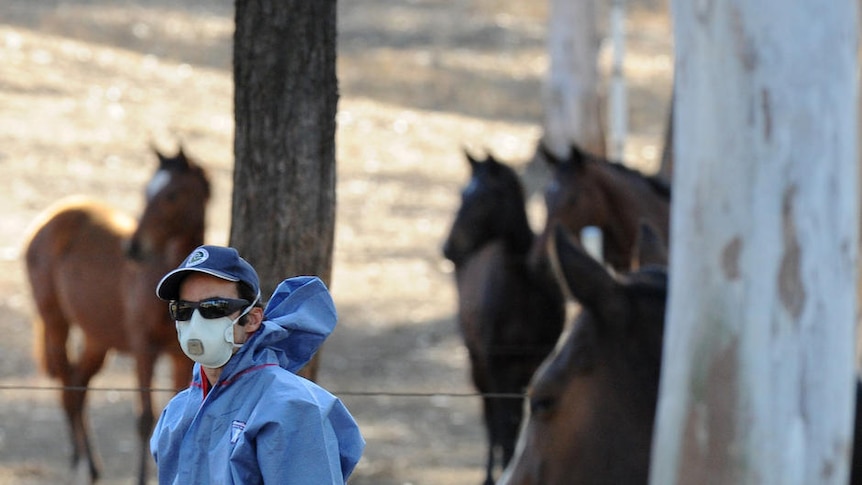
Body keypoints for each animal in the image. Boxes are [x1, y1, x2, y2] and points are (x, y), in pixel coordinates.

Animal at [24, 147, 210, 484]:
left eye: (173, 195)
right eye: (146, 190)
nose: (134, 247)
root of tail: (50, 219)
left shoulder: (181, 357)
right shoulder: (143, 350)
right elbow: (145, 418)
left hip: (98, 339)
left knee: (79, 383)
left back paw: (92, 466)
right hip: (56, 322)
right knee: (68, 386)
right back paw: (80, 464)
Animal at [442, 151, 572, 484]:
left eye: (487, 196)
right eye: (463, 193)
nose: (448, 248)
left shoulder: (535, 362)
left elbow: (518, 419)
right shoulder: (496, 363)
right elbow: (502, 422)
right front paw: (503, 468)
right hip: (477, 360)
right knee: (489, 415)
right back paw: (490, 471)